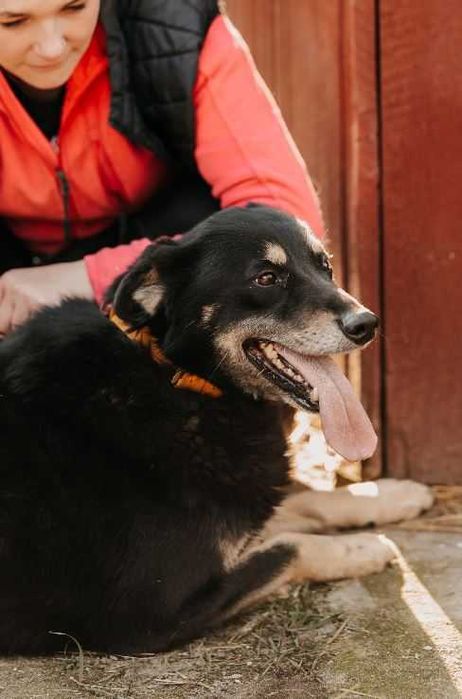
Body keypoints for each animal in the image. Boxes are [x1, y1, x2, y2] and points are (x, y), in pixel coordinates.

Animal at [0, 205, 432, 655]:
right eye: (266, 278)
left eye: (325, 266)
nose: (367, 323)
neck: (180, 380)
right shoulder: (149, 617)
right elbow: (291, 547)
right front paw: (363, 546)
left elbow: (303, 505)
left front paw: (391, 494)